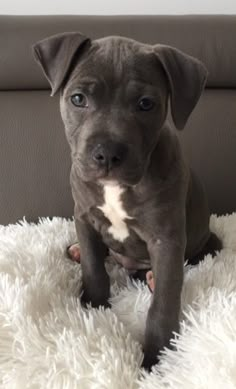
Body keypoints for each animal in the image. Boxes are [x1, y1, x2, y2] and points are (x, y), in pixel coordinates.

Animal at [32, 32, 221, 366]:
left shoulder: (166, 240)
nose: (107, 153)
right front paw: (93, 307)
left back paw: (153, 278)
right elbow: (94, 267)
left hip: (201, 244)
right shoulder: (84, 217)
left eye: (146, 104)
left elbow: (164, 303)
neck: (118, 188)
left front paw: (158, 356)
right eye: (78, 99)